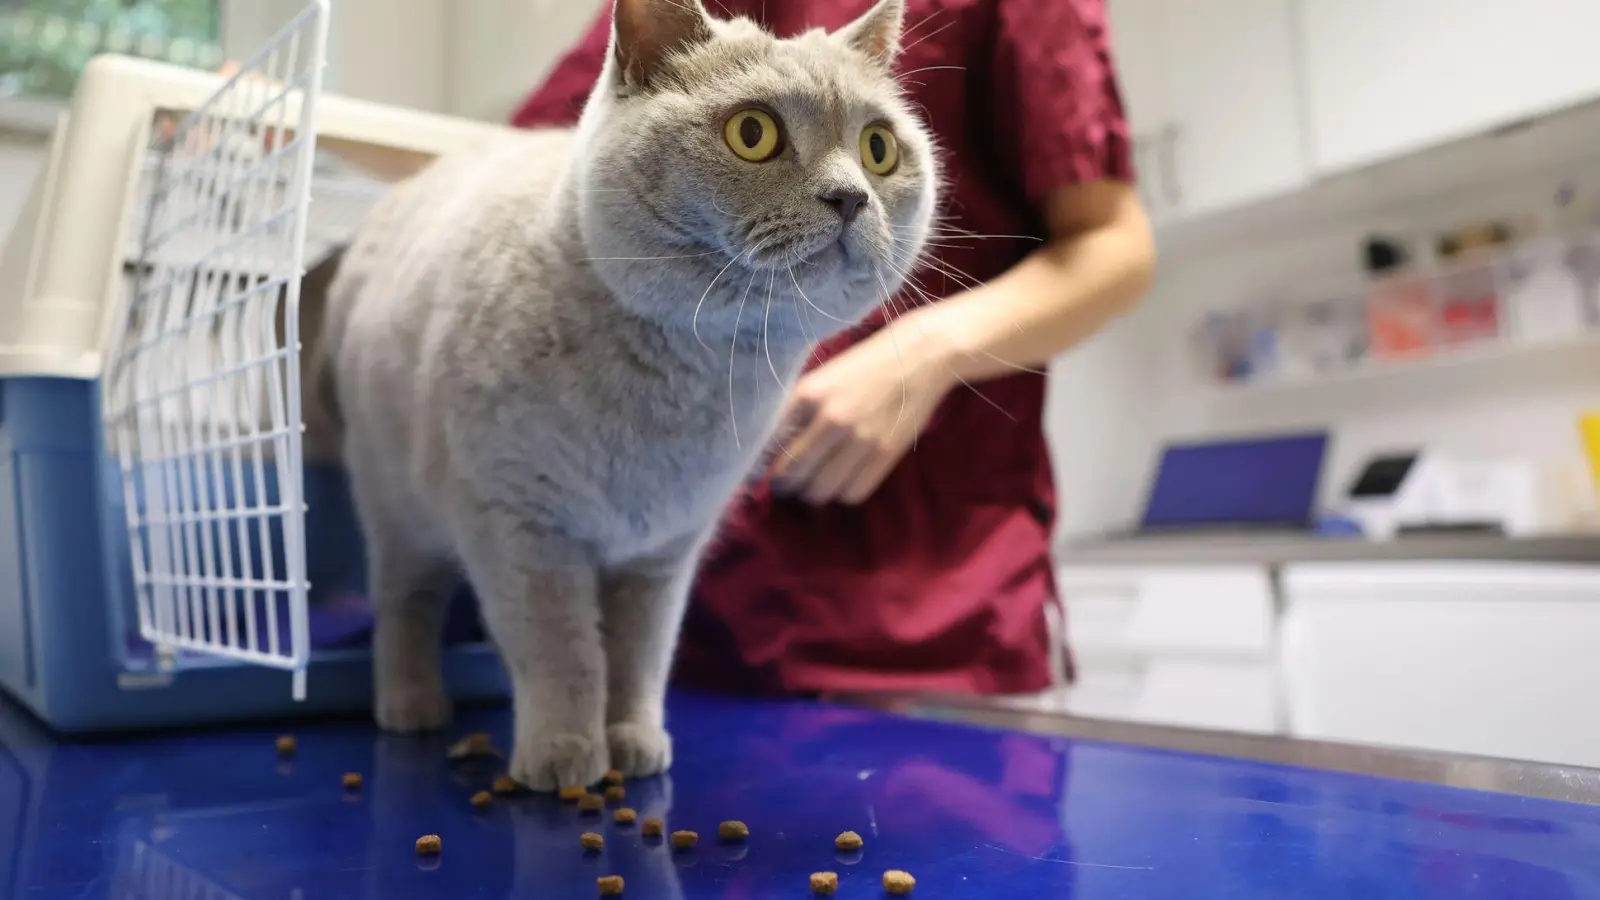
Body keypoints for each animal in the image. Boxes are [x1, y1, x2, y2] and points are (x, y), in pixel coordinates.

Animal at [315, 0, 934, 784]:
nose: (851, 197)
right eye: (754, 133)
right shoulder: (522, 527)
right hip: (395, 502)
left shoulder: (663, 553)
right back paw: (411, 704)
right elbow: (563, 653)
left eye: (879, 148)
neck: (687, 376)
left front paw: (634, 742)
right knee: (405, 603)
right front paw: (564, 753)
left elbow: (640, 654)